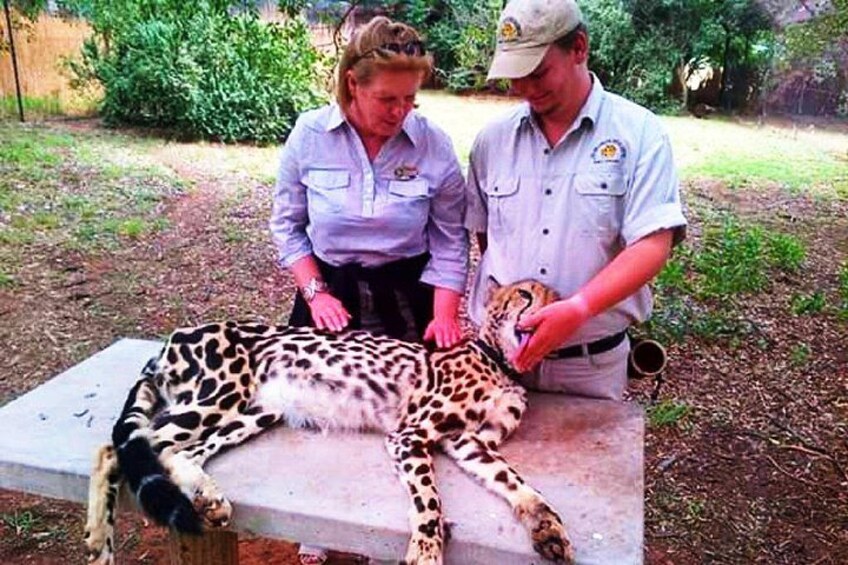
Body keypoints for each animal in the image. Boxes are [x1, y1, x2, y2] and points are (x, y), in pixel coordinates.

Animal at [84, 278, 574, 565]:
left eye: (558, 300)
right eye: (525, 295)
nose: (542, 315)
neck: (502, 362)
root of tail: (172, 339)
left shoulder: (471, 444)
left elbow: (517, 483)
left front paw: (547, 526)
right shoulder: (409, 434)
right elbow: (429, 500)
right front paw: (427, 549)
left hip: (256, 411)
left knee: (180, 451)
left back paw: (209, 498)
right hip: (221, 393)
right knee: (121, 447)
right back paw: (99, 540)